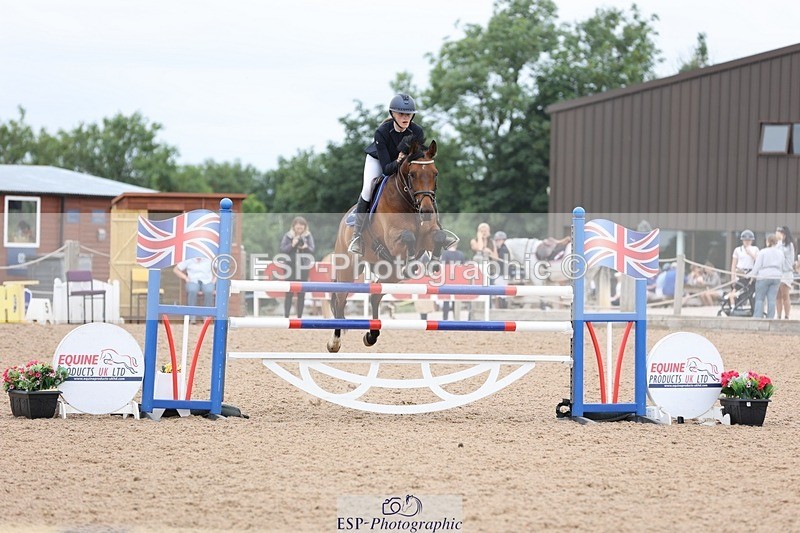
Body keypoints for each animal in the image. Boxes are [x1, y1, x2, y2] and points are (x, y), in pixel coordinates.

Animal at [327, 139, 447, 353]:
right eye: (412, 174)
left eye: (435, 173)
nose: (426, 211)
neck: (409, 203)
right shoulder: (393, 239)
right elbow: (407, 237)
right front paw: (412, 260)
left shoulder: (428, 235)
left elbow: (438, 236)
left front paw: (432, 263)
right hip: (348, 268)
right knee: (341, 299)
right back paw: (335, 342)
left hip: (389, 273)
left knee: (375, 296)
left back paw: (371, 335)